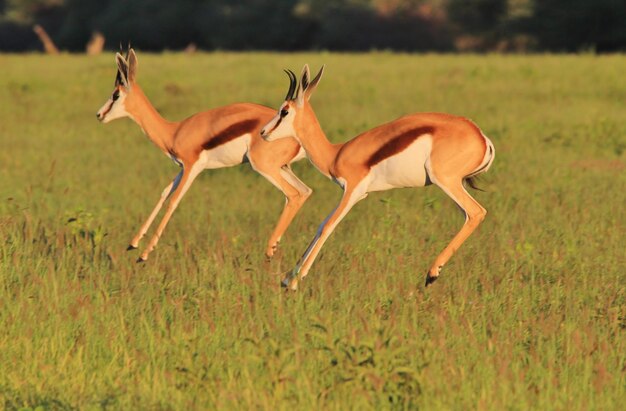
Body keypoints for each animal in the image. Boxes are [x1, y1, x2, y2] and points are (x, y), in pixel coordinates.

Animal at [94, 48, 310, 260]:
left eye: (115, 94)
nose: (99, 115)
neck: (174, 131)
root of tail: (299, 137)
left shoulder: (192, 167)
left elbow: (174, 201)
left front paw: (145, 254)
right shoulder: (182, 168)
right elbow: (164, 193)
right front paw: (133, 244)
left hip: (264, 167)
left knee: (292, 194)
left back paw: (271, 249)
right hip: (283, 168)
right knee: (304, 192)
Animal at [258, 66, 492, 290]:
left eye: (284, 111)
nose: (262, 132)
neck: (335, 154)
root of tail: (481, 137)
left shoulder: (352, 192)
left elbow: (328, 226)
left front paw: (296, 281)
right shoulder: (356, 195)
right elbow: (321, 225)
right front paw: (287, 278)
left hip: (445, 180)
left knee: (476, 212)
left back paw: (431, 274)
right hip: (454, 184)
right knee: (468, 215)